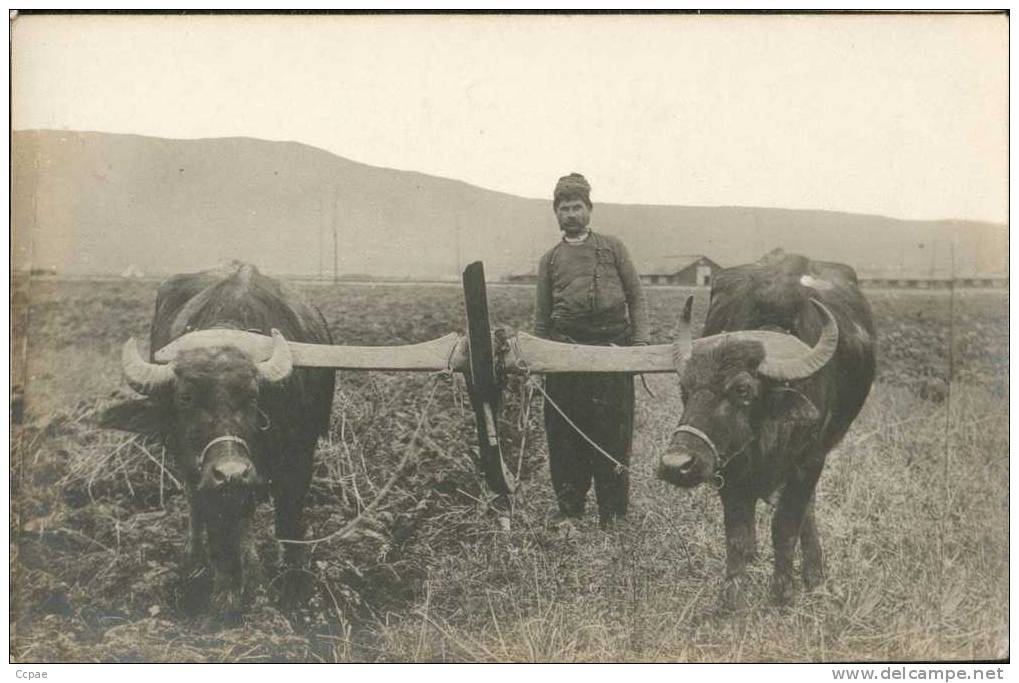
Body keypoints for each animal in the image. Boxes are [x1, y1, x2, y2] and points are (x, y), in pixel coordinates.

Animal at [98, 263, 332, 615]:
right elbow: (216, 518)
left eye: (252, 396)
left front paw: (292, 589)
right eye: (185, 398)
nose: (231, 471)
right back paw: (194, 560)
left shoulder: (300, 457)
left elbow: (287, 521)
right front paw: (227, 593)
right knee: (199, 508)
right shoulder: (200, 468)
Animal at [660, 253, 876, 607]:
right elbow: (737, 534)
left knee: (806, 511)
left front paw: (783, 591)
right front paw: (732, 597)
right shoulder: (729, 466)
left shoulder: (810, 461)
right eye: (684, 389)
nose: (675, 465)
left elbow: (785, 525)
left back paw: (814, 576)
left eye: (742, 389)